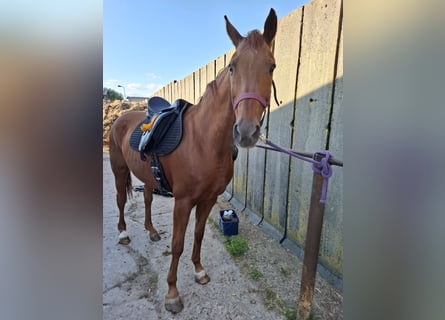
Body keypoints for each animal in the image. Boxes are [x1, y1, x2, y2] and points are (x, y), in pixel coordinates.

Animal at [108, 9, 274, 312]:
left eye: (271, 67)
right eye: (232, 67)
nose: (246, 131)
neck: (204, 141)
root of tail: (123, 117)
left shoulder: (208, 200)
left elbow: (197, 235)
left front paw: (199, 271)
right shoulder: (183, 202)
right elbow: (177, 244)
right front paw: (172, 293)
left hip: (147, 175)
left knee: (147, 198)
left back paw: (151, 231)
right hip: (118, 169)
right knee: (121, 199)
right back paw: (123, 234)